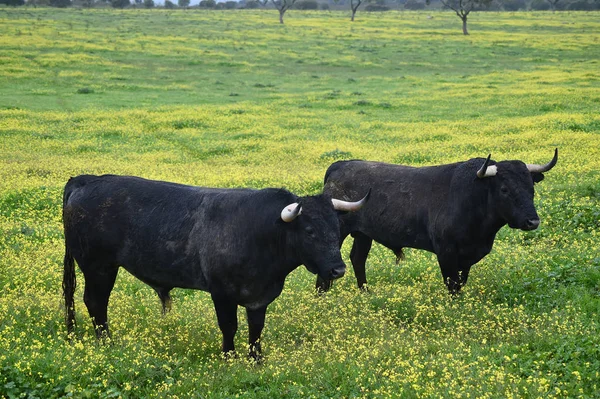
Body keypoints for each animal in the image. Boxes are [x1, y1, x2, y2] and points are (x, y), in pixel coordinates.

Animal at [63, 175, 368, 360]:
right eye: (309, 231)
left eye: (336, 228)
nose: (338, 270)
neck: (258, 231)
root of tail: (86, 180)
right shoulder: (221, 293)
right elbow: (229, 326)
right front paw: (229, 357)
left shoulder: (260, 297)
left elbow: (256, 328)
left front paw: (255, 359)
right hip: (99, 267)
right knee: (95, 301)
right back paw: (106, 342)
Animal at [318, 150, 556, 294]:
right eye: (505, 189)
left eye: (531, 188)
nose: (532, 221)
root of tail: (341, 165)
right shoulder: (446, 253)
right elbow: (452, 285)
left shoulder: (467, 258)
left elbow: (461, 282)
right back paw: (322, 296)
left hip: (363, 234)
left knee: (358, 259)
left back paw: (365, 292)